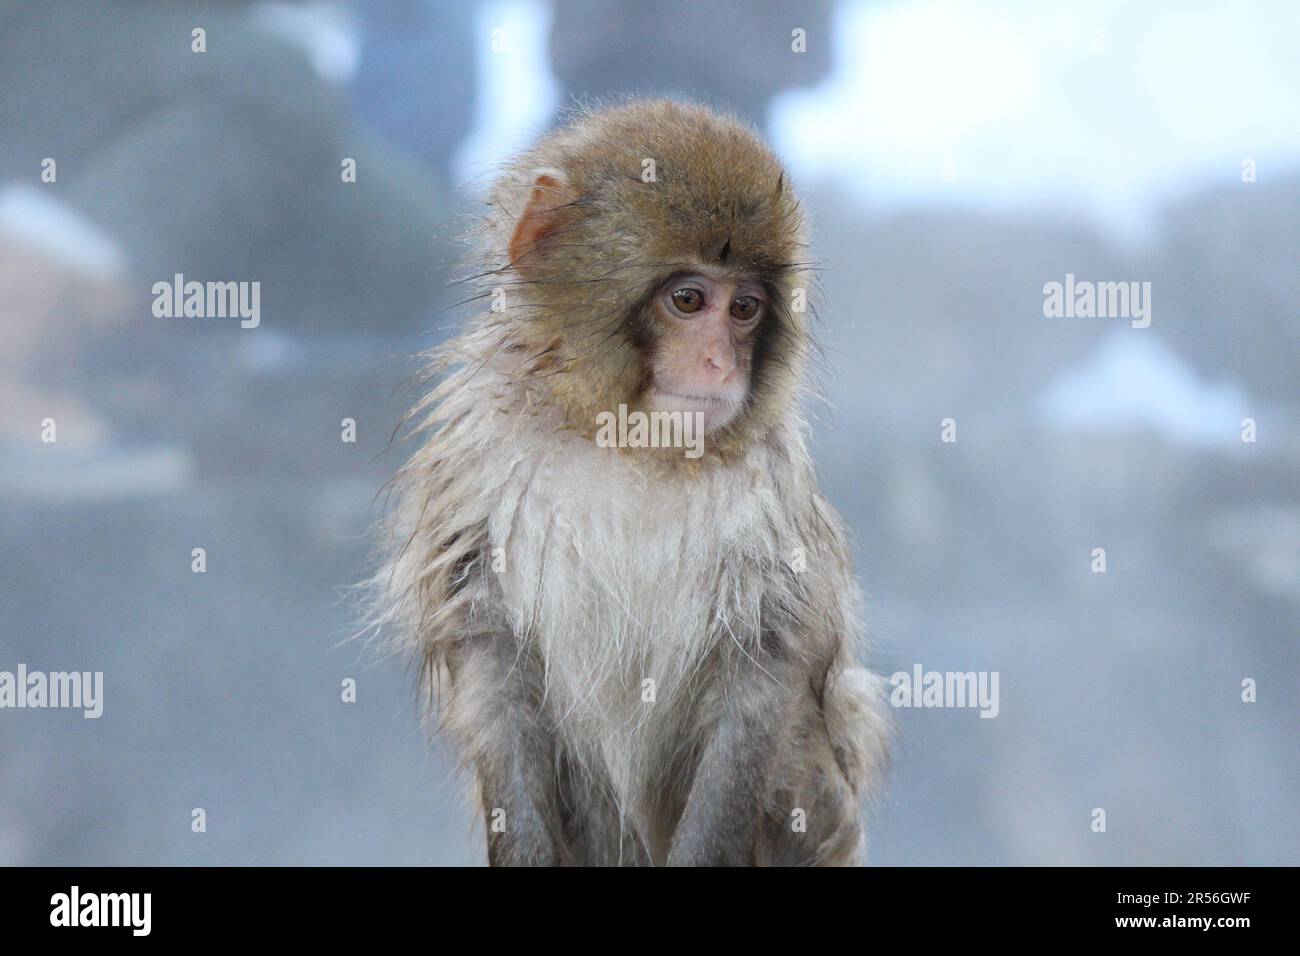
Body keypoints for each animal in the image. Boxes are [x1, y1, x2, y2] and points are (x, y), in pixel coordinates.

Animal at [371, 98, 889, 868]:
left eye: (745, 309)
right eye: (688, 299)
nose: (720, 364)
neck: (626, 442)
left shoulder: (768, 503)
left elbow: (760, 680)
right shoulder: (477, 478)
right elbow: (498, 671)